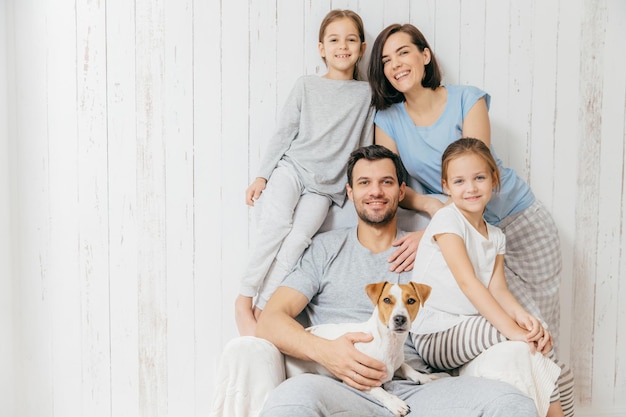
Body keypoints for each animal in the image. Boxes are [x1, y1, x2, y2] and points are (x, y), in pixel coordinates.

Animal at [286, 280, 436, 416]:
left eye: (411, 300)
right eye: (387, 300)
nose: (400, 319)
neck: (388, 342)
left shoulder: (396, 364)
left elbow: (406, 367)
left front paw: (423, 377)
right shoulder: (358, 378)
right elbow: (380, 391)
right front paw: (395, 403)